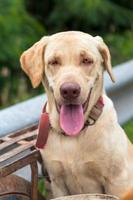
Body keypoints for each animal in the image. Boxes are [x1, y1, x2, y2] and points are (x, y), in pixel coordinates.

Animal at [19, 31, 133, 198]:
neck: (73, 137)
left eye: (86, 60)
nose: (69, 90)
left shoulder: (118, 181)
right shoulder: (57, 183)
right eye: (54, 62)